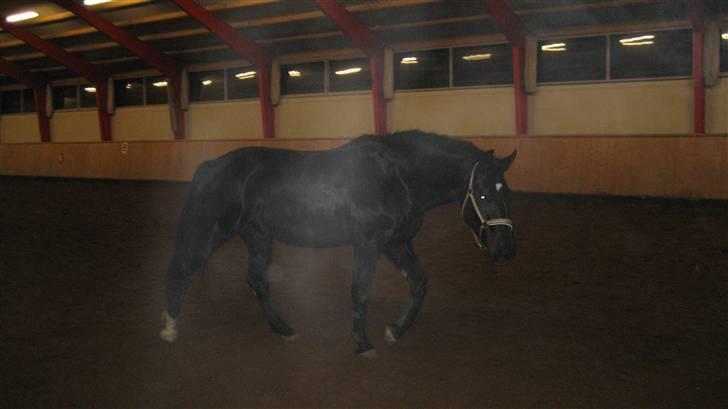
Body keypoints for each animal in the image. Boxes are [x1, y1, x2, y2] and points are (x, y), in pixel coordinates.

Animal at [161, 129, 516, 356]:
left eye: (506, 192)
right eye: (483, 194)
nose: (505, 250)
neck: (398, 177)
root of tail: (208, 167)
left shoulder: (396, 243)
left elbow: (419, 282)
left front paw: (395, 330)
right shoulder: (368, 244)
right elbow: (360, 291)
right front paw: (363, 343)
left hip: (258, 235)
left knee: (258, 282)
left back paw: (284, 330)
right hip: (211, 231)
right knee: (183, 271)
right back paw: (169, 328)